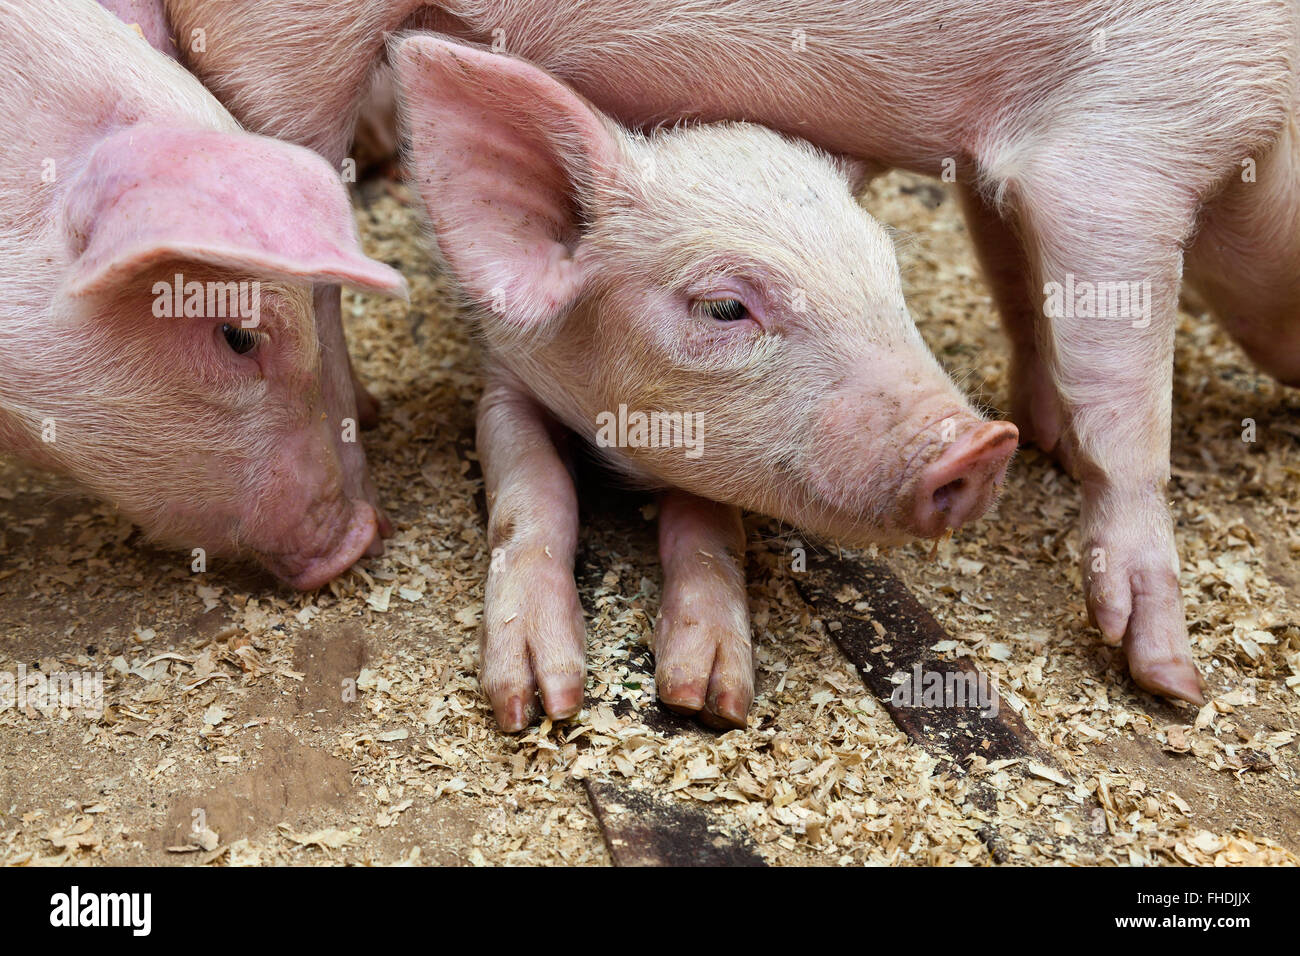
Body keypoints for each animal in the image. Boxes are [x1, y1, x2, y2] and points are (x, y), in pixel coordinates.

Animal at [162, 0, 1297, 723]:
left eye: (890, 276)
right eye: (722, 306)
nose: (981, 446)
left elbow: (1019, 284)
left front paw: (706, 693)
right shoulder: (1129, 136)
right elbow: (1127, 398)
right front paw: (1170, 679)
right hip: (289, 41)